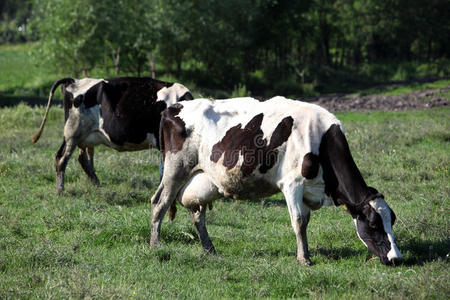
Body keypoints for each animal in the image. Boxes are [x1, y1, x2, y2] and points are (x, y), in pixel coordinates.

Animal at [31, 77, 193, 192]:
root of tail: (73, 81)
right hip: (72, 132)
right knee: (61, 158)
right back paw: (60, 190)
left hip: (83, 136)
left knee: (82, 160)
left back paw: (97, 185)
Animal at [151, 96, 404, 264]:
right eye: (373, 224)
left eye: (392, 220)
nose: (397, 258)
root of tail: (174, 107)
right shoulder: (292, 184)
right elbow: (300, 221)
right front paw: (304, 259)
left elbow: (305, 219)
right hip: (175, 170)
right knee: (159, 203)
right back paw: (155, 245)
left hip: (200, 180)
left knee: (197, 214)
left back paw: (210, 250)